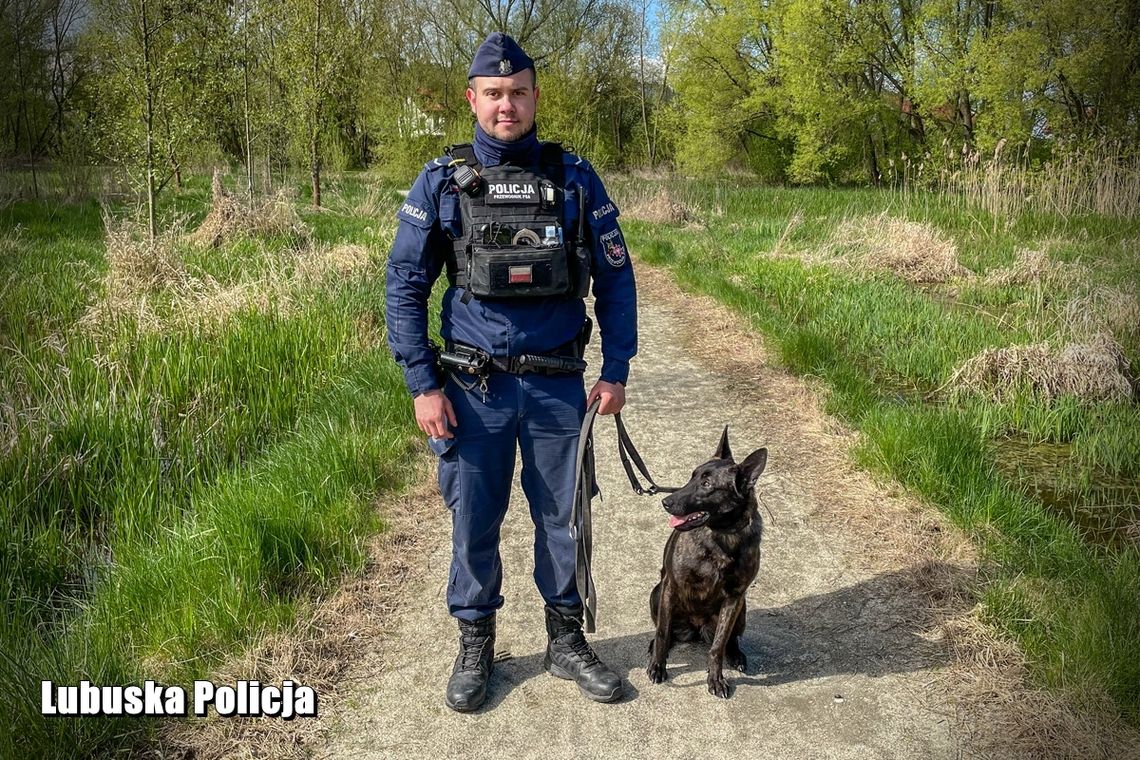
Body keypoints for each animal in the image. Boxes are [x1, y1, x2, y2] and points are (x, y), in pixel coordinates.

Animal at [647, 426, 770, 697]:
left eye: (706, 484)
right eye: (691, 477)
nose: (665, 502)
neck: (721, 537)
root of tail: (695, 628)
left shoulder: (734, 598)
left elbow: (718, 646)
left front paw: (716, 678)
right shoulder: (671, 586)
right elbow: (662, 632)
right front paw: (658, 666)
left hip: (742, 609)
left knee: (730, 639)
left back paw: (736, 654)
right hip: (657, 594)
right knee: (666, 631)